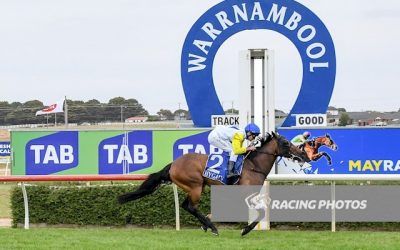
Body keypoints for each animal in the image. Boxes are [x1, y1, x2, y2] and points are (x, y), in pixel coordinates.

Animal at [119, 132, 310, 235]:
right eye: (286, 143)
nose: (304, 155)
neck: (253, 165)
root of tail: (173, 164)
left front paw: (210, 219)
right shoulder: (247, 193)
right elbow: (261, 213)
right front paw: (245, 230)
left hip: (198, 186)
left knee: (186, 205)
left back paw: (207, 225)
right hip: (195, 185)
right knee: (190, 206)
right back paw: (213, 228)